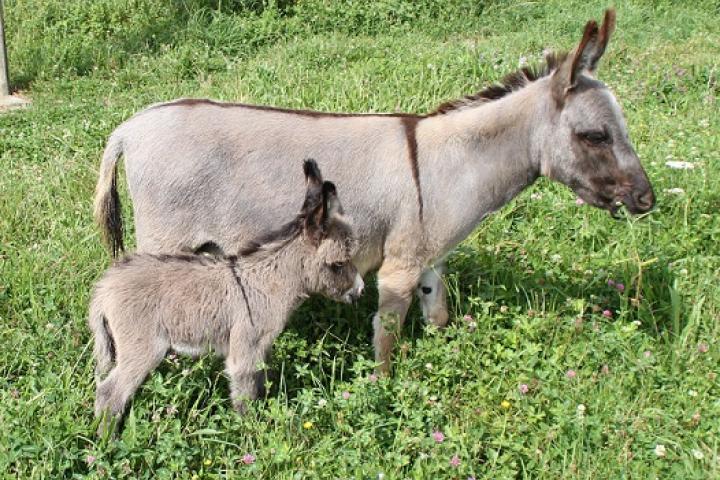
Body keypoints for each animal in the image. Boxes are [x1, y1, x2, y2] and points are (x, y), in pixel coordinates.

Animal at [89, 160, 360, 436]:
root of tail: (104, 288)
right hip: (143, 349)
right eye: (338, 264)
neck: (269, 281)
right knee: (109, 394)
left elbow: (260, 384)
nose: (359, 290)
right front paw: (252, 435)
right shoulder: (246, 349)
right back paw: (107, 443)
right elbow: (245, 396)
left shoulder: (260, 349)